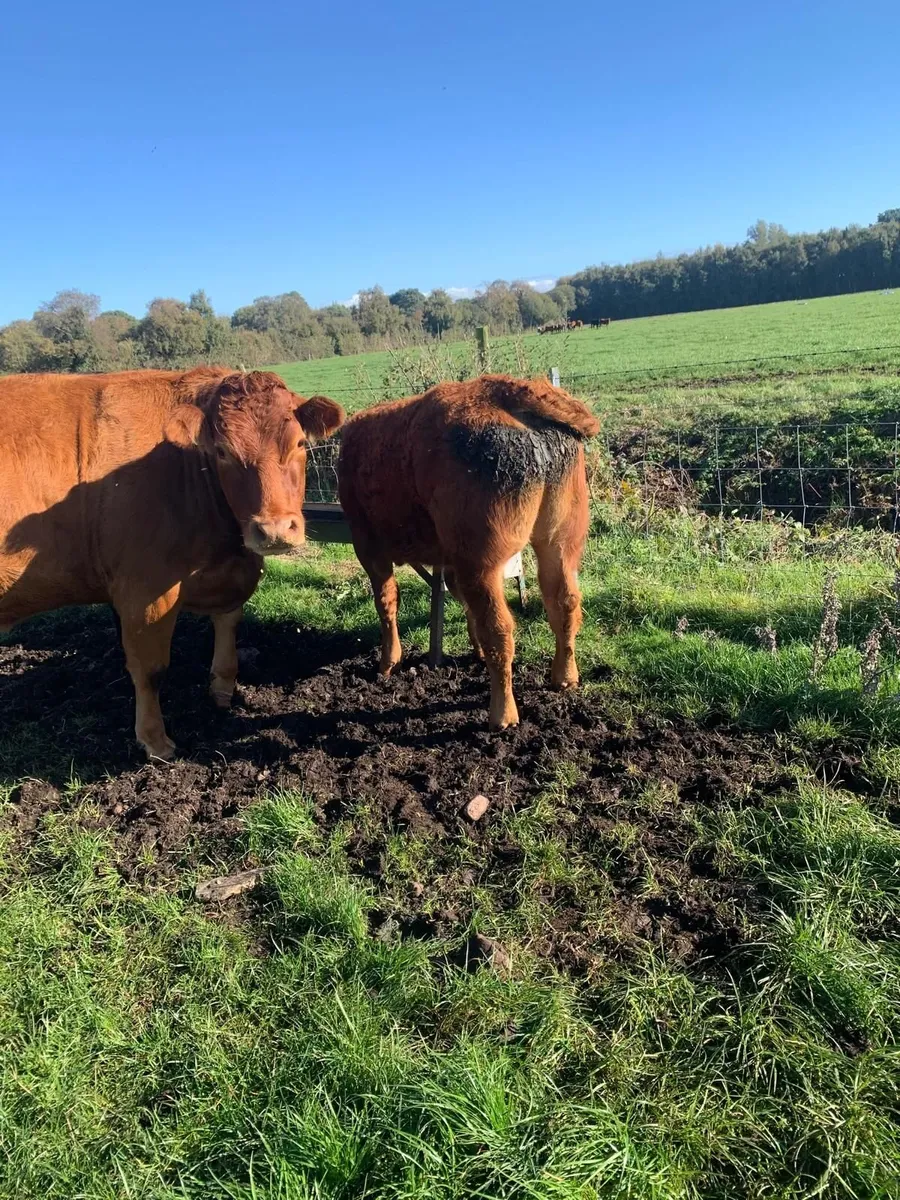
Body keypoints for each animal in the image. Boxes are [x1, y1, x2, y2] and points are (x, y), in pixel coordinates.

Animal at [0, 368, 344, 760]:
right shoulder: (144, 590)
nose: (273, 530)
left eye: (300, 444)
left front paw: (222, 689)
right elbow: (150, 669)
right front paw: (155, 740)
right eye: (223, 451)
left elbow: (228, 623)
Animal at [338, 374, 600, 730]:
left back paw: (502, 714)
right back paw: (564, 676)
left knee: (500, 628)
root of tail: (499, 389)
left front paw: (388, 662)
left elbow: (386, 600)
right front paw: (474, 652)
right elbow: (461, 601)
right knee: (564, 604)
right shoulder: (449, 558)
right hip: (559, 541)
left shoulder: (367, 544)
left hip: (480, 560)